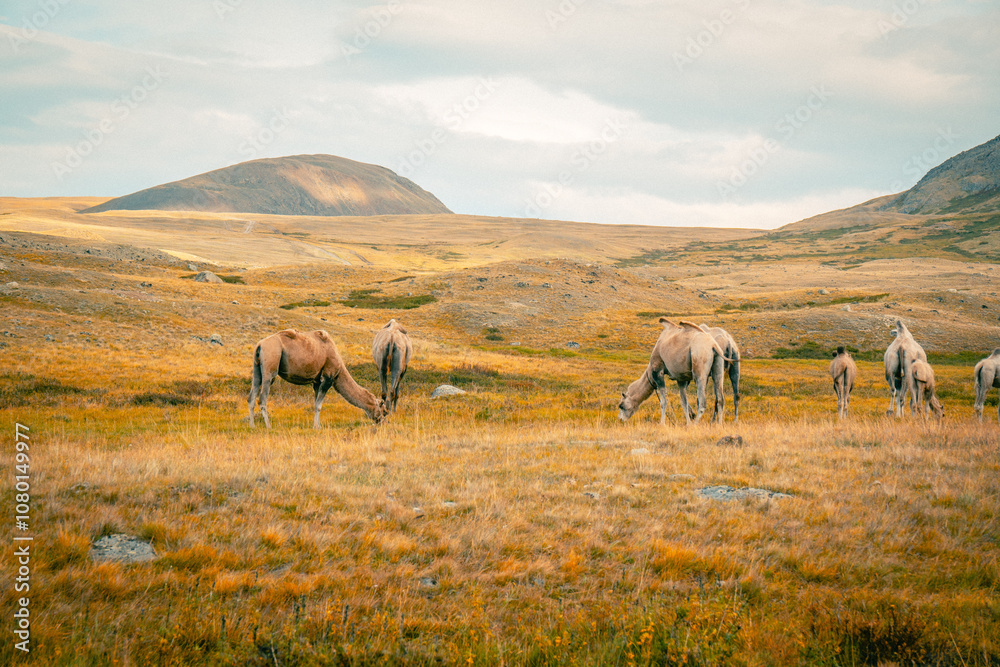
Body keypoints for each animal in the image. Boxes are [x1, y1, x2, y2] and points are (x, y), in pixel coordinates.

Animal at [248, 329, 387, 428]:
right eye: (383, 409)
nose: (383, 421)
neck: (340, 370)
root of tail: (259, 345)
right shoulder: (328, 378)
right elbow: (319, 405)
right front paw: (317, 427)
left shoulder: (316, 382)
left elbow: (316, 403)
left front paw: (317, 425)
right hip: (270, 366)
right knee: (262, 397)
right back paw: (268, 426)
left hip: (257, 369)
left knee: (251, 396)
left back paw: (252, 426)